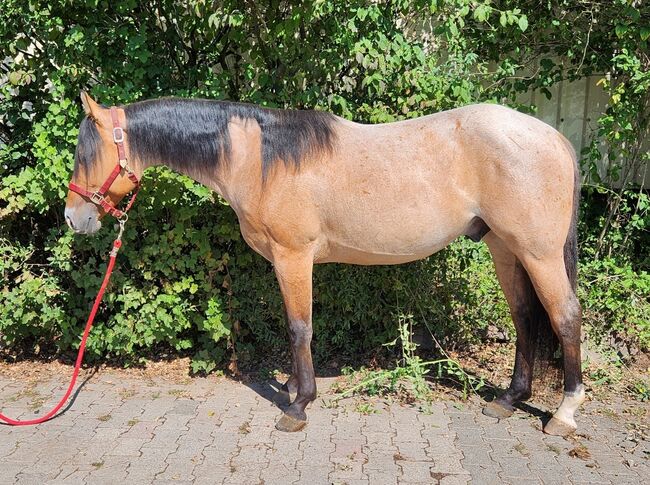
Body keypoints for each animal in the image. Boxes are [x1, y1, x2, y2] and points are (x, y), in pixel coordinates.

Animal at [64, 91, 584, 434]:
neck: (260, 160)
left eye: (87, 153)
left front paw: (298, 406)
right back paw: (509, 400)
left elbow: (300, 328)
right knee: (525, 317)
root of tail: (555, 138)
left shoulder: (293, 256)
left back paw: (563, 413)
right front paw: (295, 388)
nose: (74, 218)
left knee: (565, 317)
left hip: (538, 253)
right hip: (504, 247)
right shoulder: (284, 261)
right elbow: (292, 327)